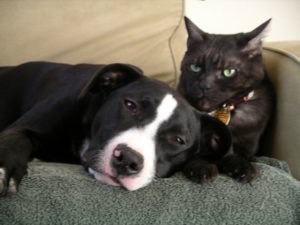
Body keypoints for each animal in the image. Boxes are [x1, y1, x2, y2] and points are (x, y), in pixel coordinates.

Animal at [0, 62, 232, 195]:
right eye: (130, 105)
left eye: (178, 140)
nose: (128, 159)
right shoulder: (22, 129)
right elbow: (15, 140)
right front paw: (5, 170)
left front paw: (202, 166)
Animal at [179, 17, 276, 183]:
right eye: (195, 67)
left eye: (228, 72)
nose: (204, 85)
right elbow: (197, 155)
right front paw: (200, 169)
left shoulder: (247, 145)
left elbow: (235, 154)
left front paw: (241, 168)